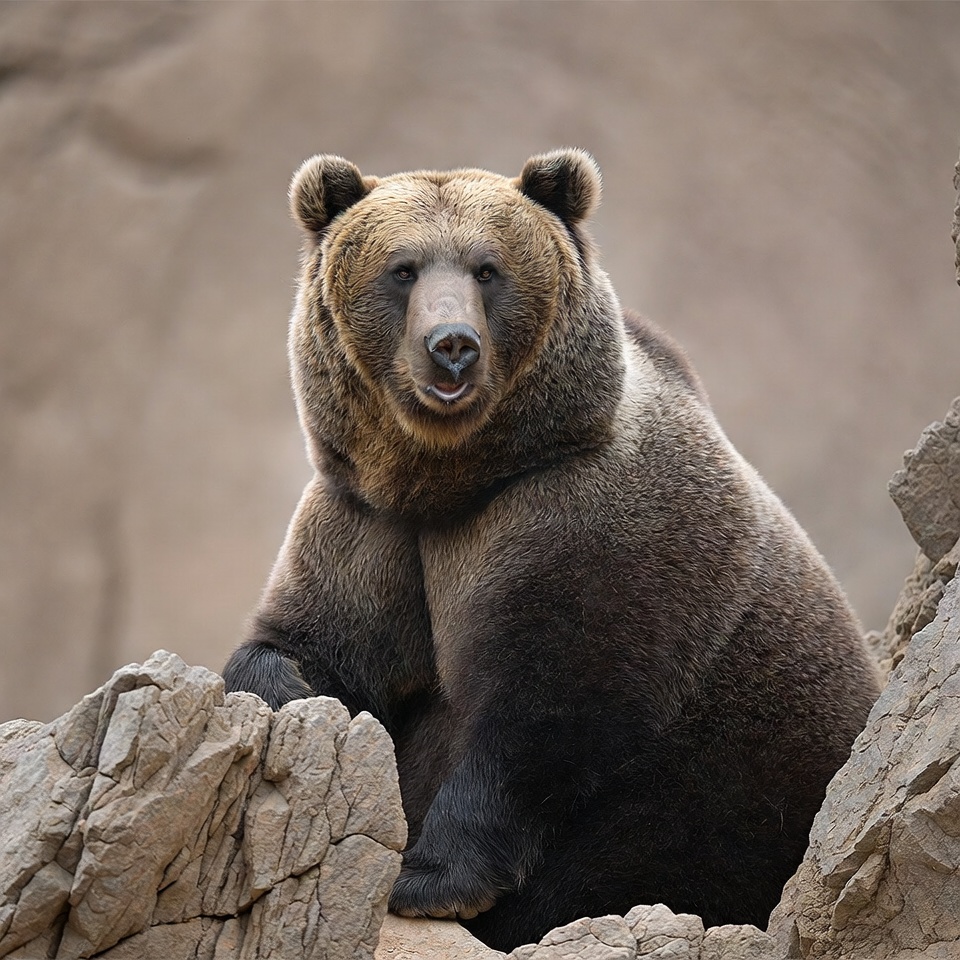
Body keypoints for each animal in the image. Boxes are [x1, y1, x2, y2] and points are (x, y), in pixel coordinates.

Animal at [222, 149, 882, 951]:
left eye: (488, 268)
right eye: (403, 269)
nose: (451, 347)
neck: (453, 482)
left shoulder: (584, 526)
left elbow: (543, 710)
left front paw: (428, 876)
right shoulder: (369, 528)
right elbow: (312, 639)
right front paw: (294, 690)